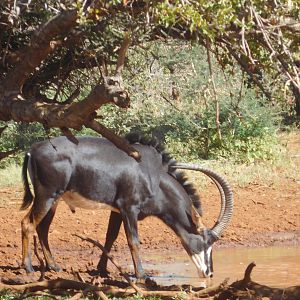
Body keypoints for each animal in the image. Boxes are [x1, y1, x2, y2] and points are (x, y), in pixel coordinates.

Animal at [21, 134, 233, 278]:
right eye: (206, 242)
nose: (209, 273)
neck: (153, 174)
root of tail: (32, 149)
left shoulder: (117, 210)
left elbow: (110, 237)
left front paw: (102, 270)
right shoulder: (130, 208)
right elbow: (133, 241)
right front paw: (142, 275)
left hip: (54, 200)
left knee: (42, 228)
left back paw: (53, 266)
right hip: (47, 196)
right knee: (27, 224)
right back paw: (28, 268)